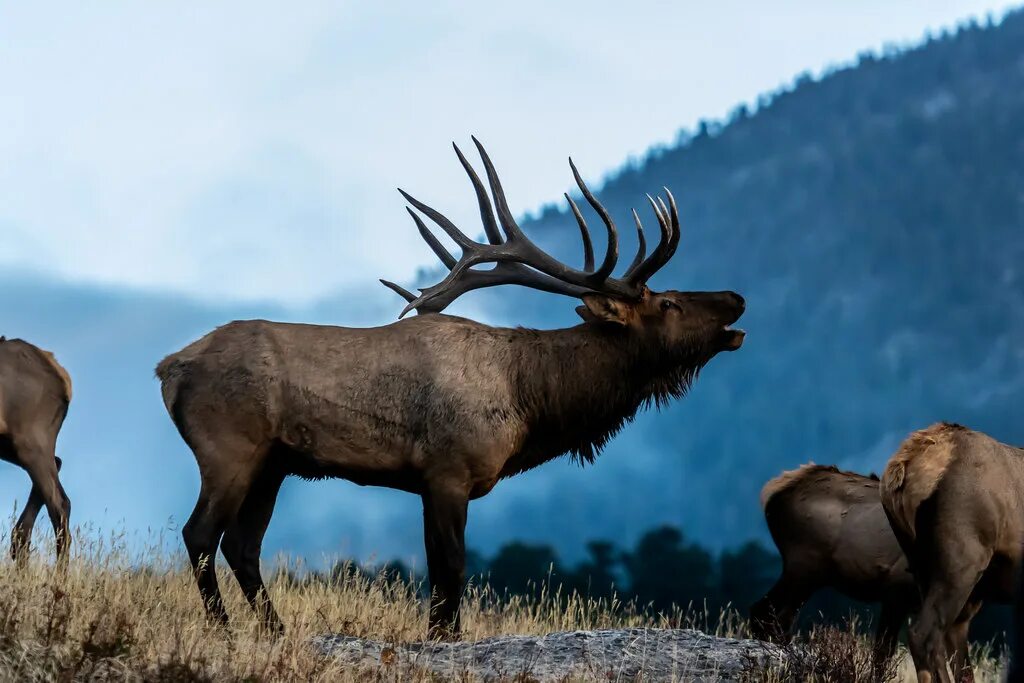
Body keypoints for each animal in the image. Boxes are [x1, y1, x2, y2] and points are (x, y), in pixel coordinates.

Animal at [153, 139, 745, 643]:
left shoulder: (426, 481)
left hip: (273, 463)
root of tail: (167, 367)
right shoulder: (449, 470)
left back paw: (275, 631)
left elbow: (438, 569)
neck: (530, 400)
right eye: (668, 302)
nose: (736, 298)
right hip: (229, 447)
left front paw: (440, 635)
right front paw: (446, 637)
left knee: (243, 545)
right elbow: (453, 567)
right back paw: (223, 629)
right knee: (200, 534)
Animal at [749, 466, 917, 671]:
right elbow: (882, 654)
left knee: (779, 619)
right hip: (802, 566)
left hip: (810, 576)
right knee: (762, 611)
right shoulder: (896, 590)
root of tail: (773, 491)